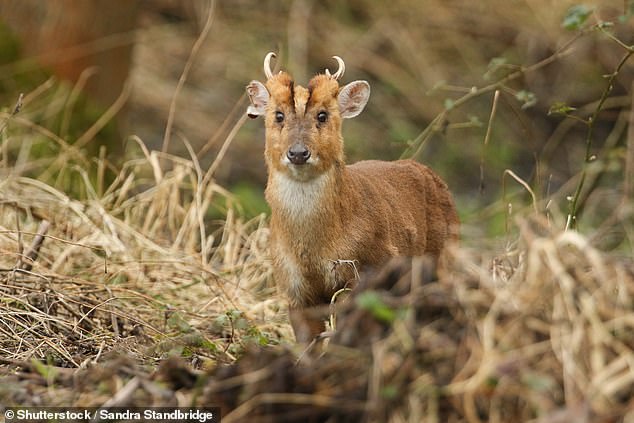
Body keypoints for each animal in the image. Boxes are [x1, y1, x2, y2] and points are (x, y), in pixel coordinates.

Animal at [244, 53, 456, 344]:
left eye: (322, 115)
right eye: (278, 115)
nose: (298, 153)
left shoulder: (370, 269)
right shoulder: (292, 286)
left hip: (445, 259)